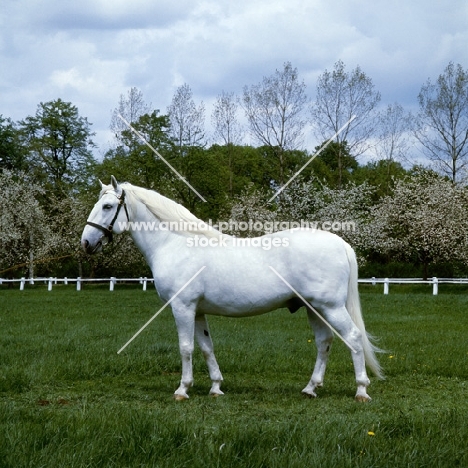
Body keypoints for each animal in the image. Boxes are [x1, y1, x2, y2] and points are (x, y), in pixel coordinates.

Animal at [82, 177, 382, 400]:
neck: (174, 244)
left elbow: (186, 347)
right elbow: (206, 347)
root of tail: (341, 243)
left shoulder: (182, 307)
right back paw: (310, 388)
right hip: (314, 308)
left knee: (353, 338)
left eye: (107, 206)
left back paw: (361, 390)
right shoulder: (197, 311)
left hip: (330, 307)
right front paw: (216, 387)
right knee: (324, 342)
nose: (86, 242)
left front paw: (182, 389)